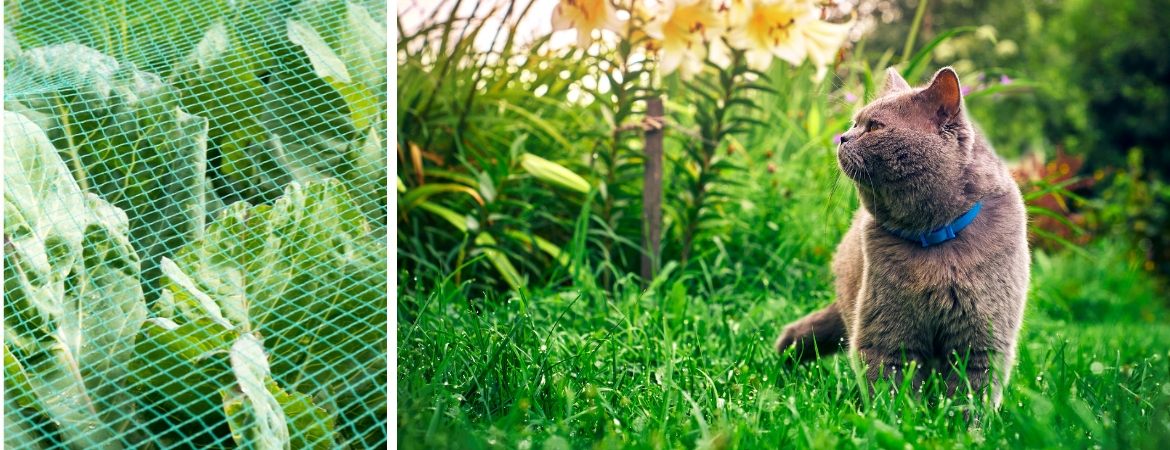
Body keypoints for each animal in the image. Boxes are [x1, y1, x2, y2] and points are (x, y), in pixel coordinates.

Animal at [772, 66, 1029, 406]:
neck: (934, 238)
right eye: (854, 123)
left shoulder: (982, 337)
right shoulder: (887, 330)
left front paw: (962, 422)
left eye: (874, 126)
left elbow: (971, 393)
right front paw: (894, 416)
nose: (842, 137)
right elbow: (890, 387)